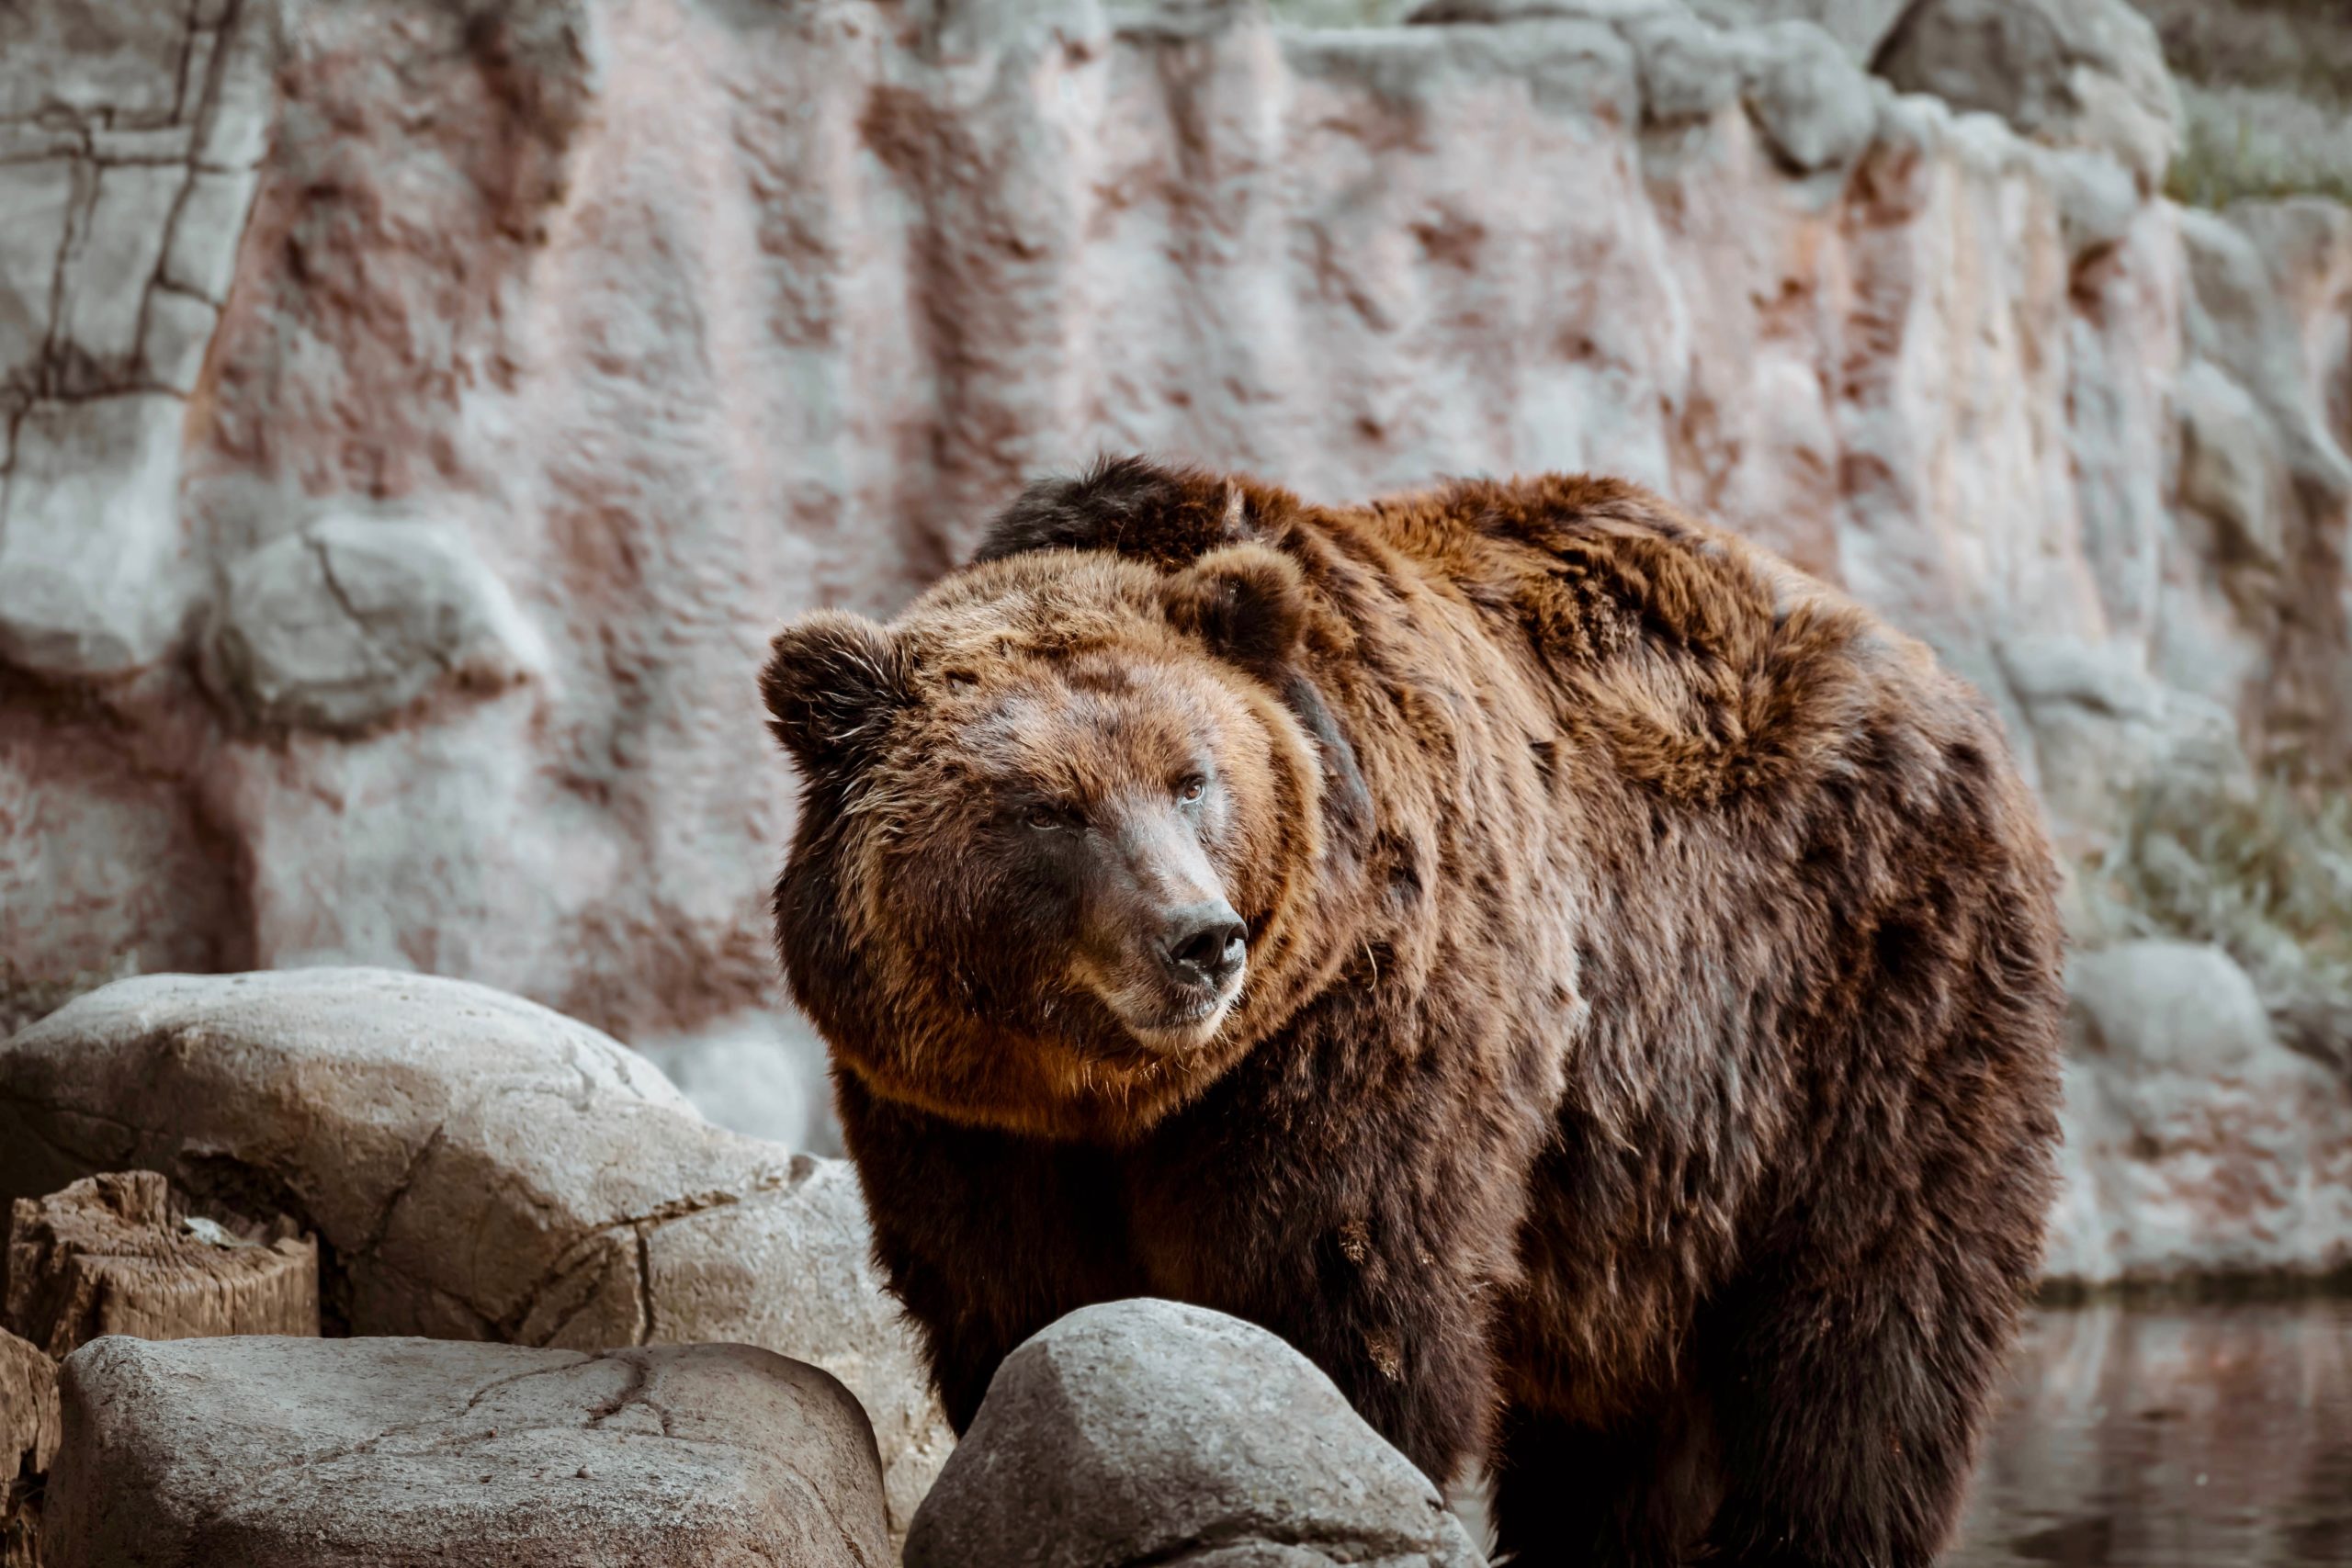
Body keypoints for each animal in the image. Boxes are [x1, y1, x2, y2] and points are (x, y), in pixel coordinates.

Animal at [760, 457, 2065, 1568]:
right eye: (1046, 808)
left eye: (1193, 779)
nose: (1200, 940)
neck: (1115, 1090)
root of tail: (1941, 684)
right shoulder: (964, 1118)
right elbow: (1012, 1303)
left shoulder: (1361, 1022)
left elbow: (1343, 1291)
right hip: (1655, 1184)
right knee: (1624, 1427)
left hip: (1860, 1003)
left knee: (1863, 1341)